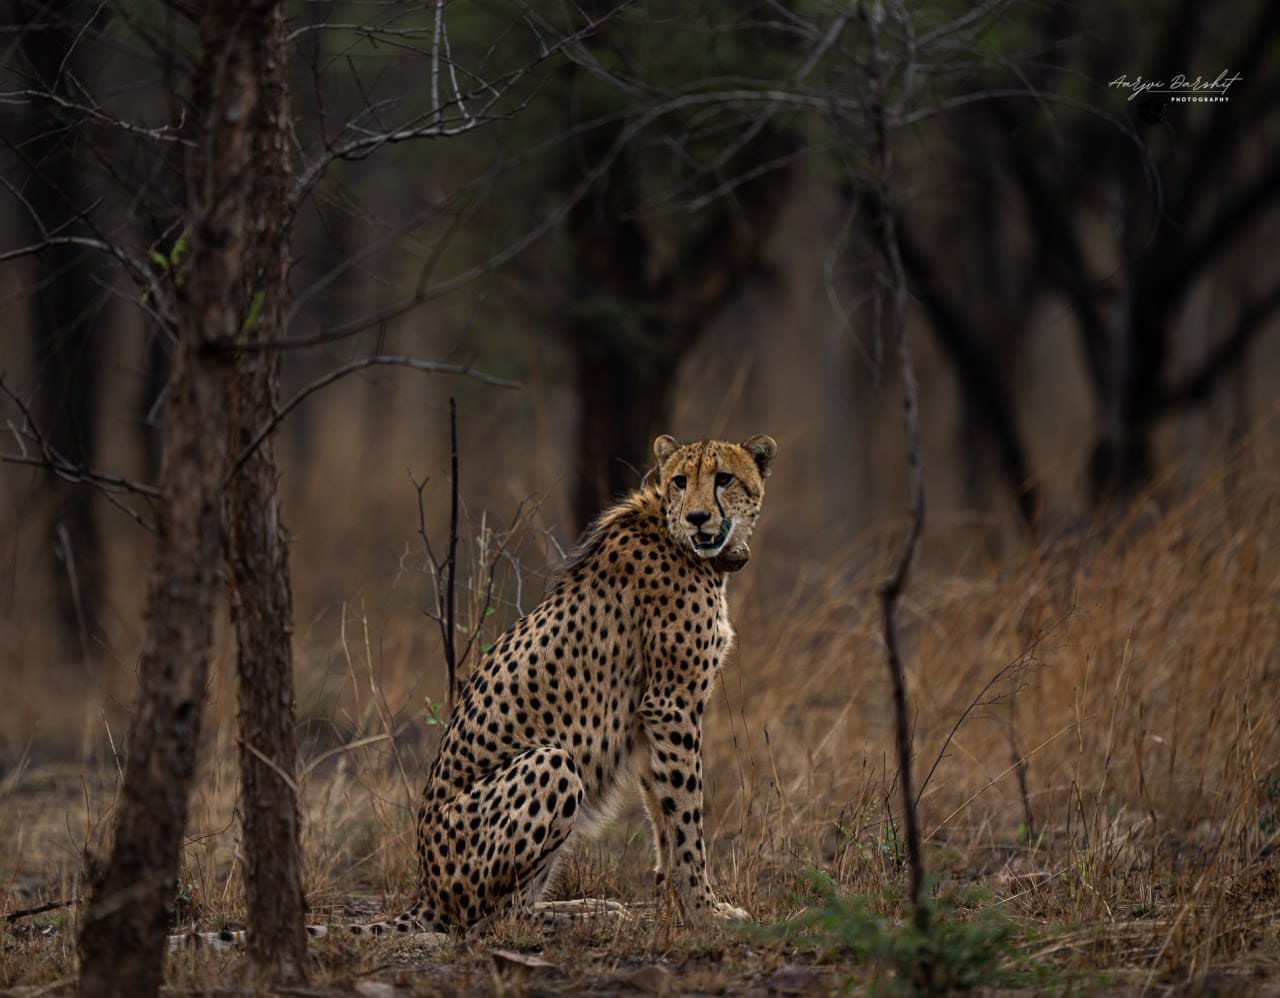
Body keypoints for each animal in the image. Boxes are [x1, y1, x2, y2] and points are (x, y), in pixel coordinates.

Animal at [174, 432, 776, 949]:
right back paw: (581, 918)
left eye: (723, 478)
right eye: (680, 481)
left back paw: (588, 907)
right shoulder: (671, 704)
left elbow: (665, 819)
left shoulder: (655, 715)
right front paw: (706, 914)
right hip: (551, 764)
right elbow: (687, 820)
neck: (688, 544)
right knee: (491, 921)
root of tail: (426, 891)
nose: (697, 517)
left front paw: (684, 908)